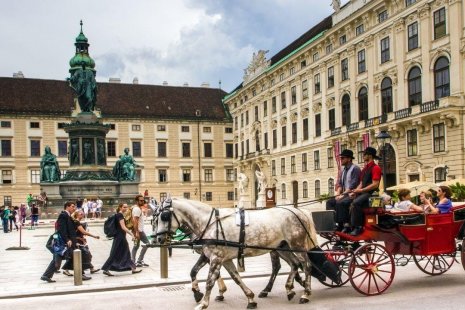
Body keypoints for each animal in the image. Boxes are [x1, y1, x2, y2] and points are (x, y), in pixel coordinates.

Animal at [154, 197, 318, 308]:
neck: (209, 223)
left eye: (164, 216)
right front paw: (250, 298)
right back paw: (289, 289)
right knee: (294, 264)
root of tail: (298, 211)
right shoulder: (220, 258)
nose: (159, 238)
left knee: (306, 265)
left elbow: (209, 281)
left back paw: (305, 293)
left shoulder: (216, 258)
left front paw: (204, 303)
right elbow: (234, 277)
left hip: (297, 246)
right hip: (282, 247)